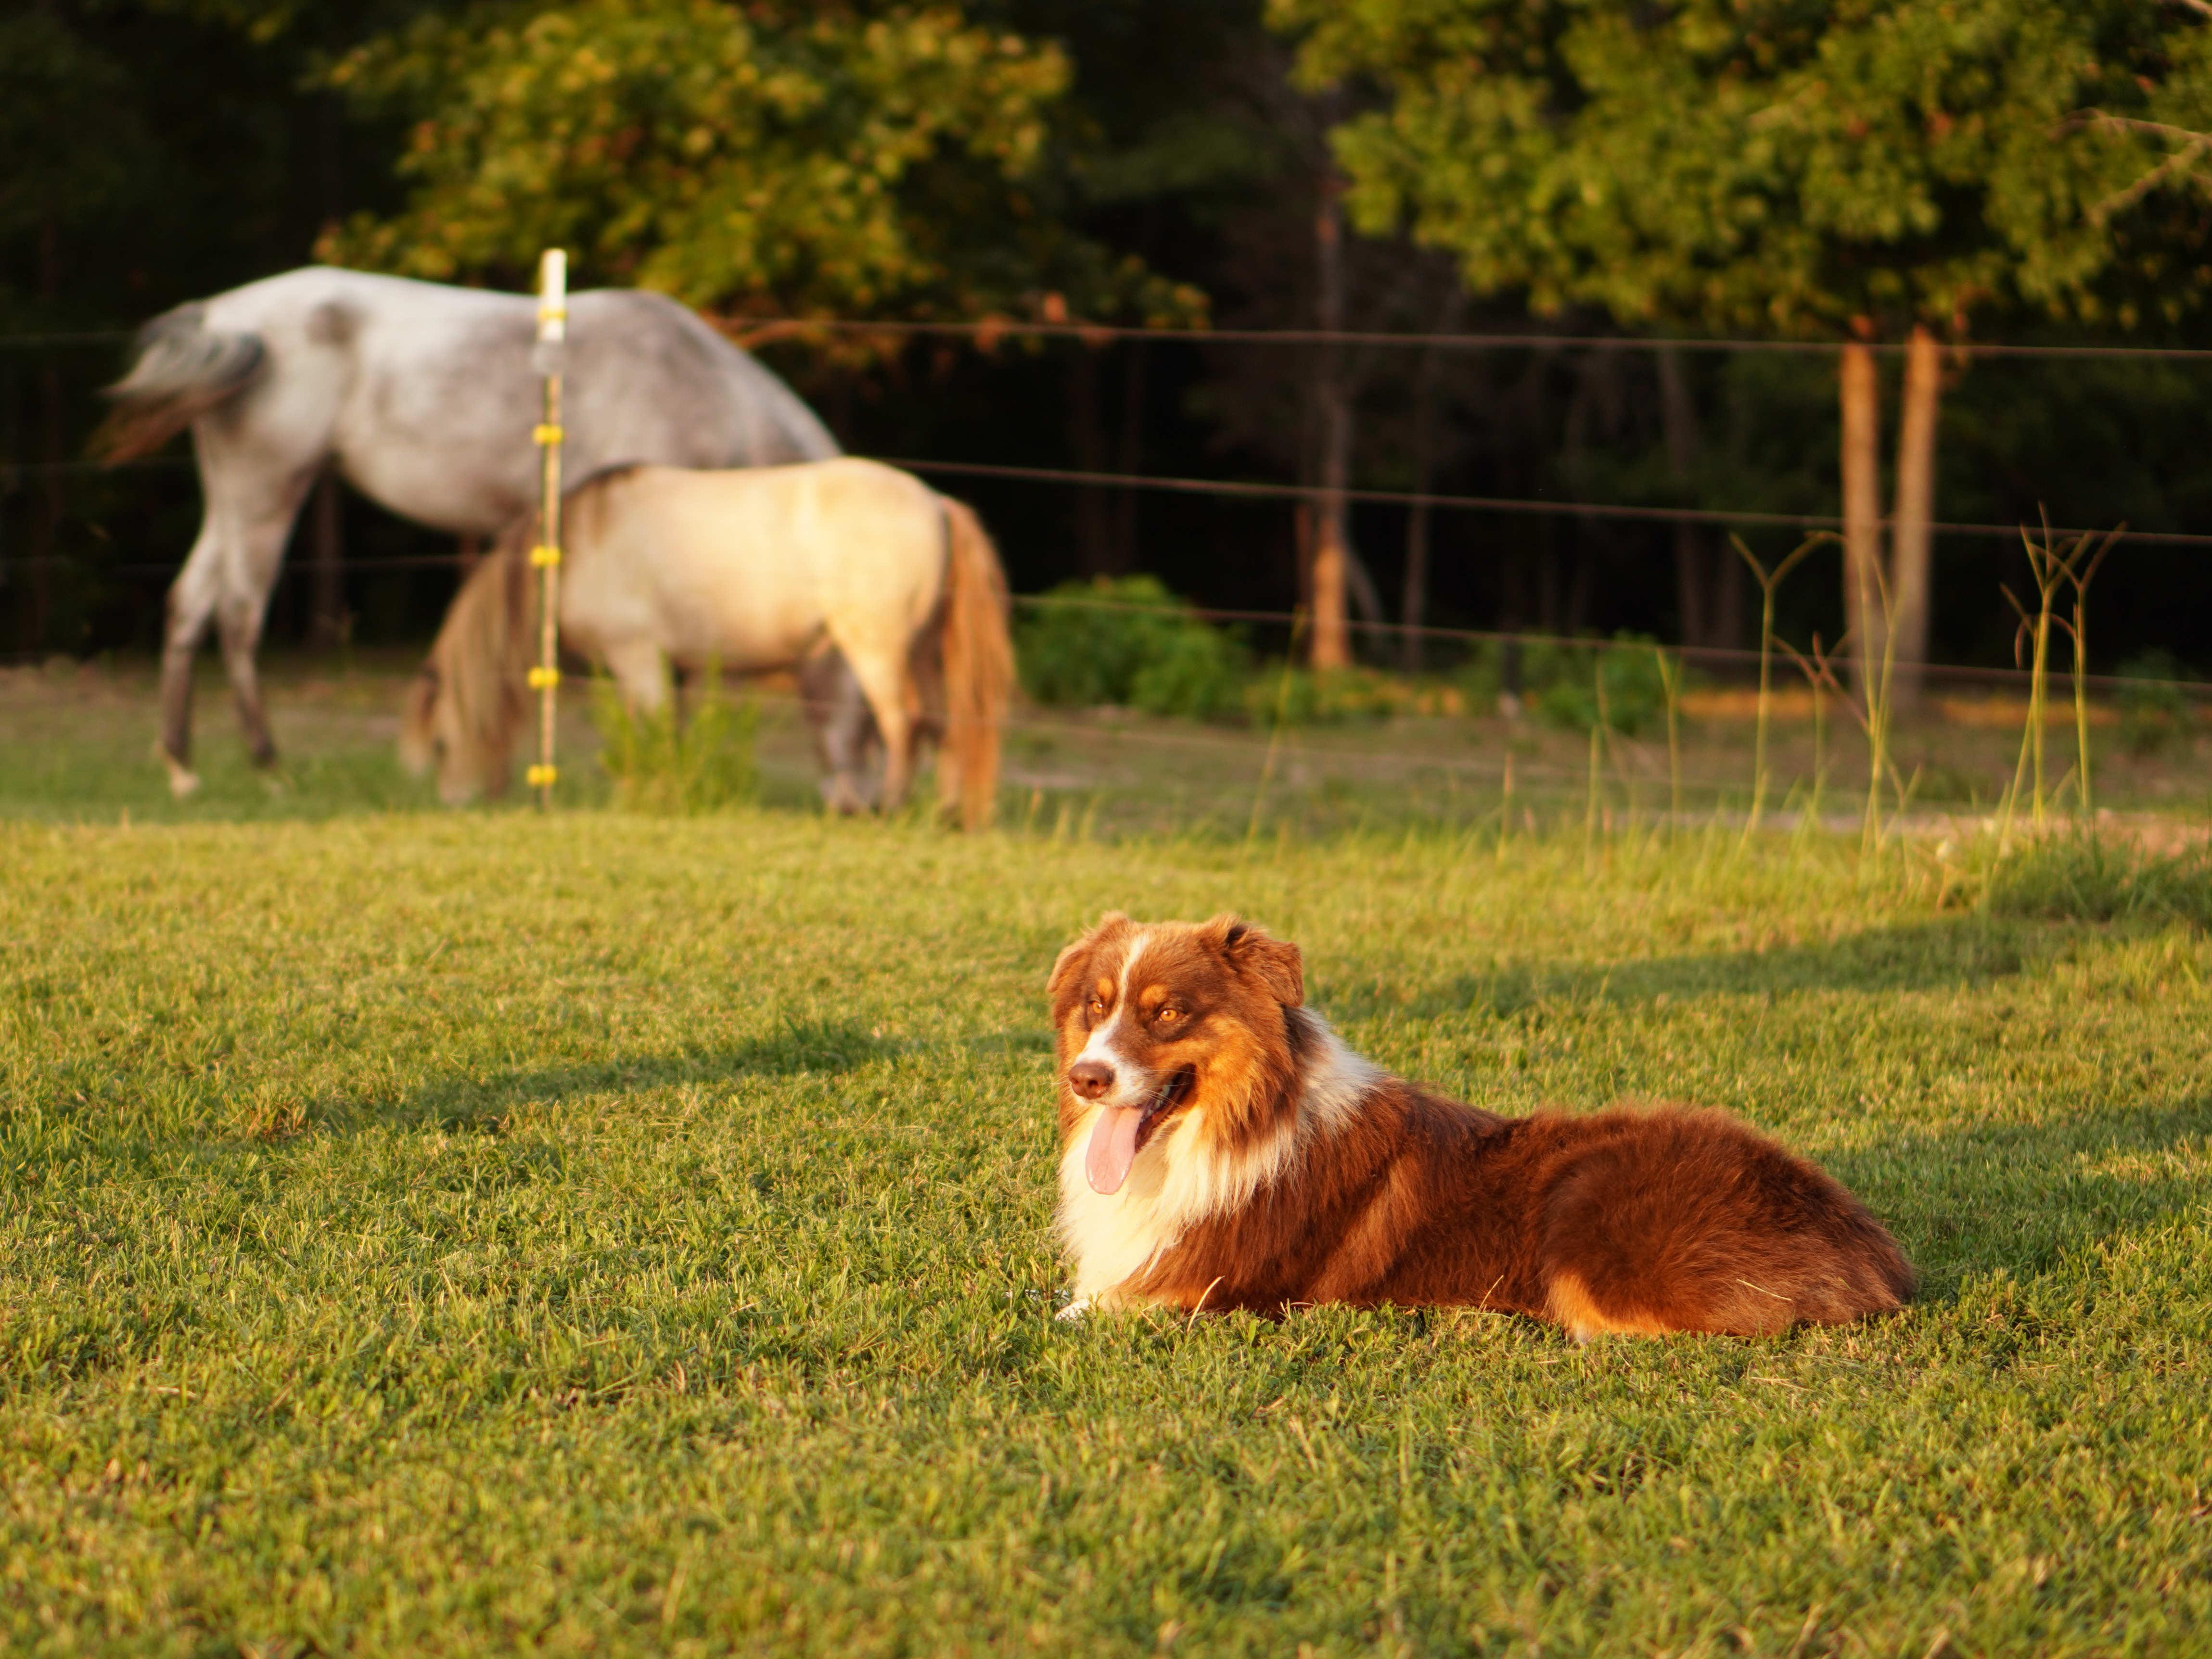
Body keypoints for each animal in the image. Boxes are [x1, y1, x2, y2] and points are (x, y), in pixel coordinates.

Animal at [95, 265, 858, 797]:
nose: (863, 803)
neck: (703, 389)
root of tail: (217, 315)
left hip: (232, 495)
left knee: (189, 603)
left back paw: (184, 771)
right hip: (268, 486)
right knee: (238, 612)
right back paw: (269, 769)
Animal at [400, 458, 1015, 828]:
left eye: (441, 745)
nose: (453, 804)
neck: (575, 546)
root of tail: (936, 502)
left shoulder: (638, 657)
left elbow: (649, 728)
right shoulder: (676, 669)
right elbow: (664, 734)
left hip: (877, 649)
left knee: (904, 727)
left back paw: (888, 808)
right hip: (925, 652)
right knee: (946, 725)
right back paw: (945, 815)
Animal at [1048, 913, 1915, 1338]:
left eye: (1166, 1013)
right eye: (1095, 1006)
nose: (1087, 1077)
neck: (1234, 1127)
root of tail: (1866, 1243)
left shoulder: (1205, 1289)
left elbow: (1072, 1313)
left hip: (1588, 1209)